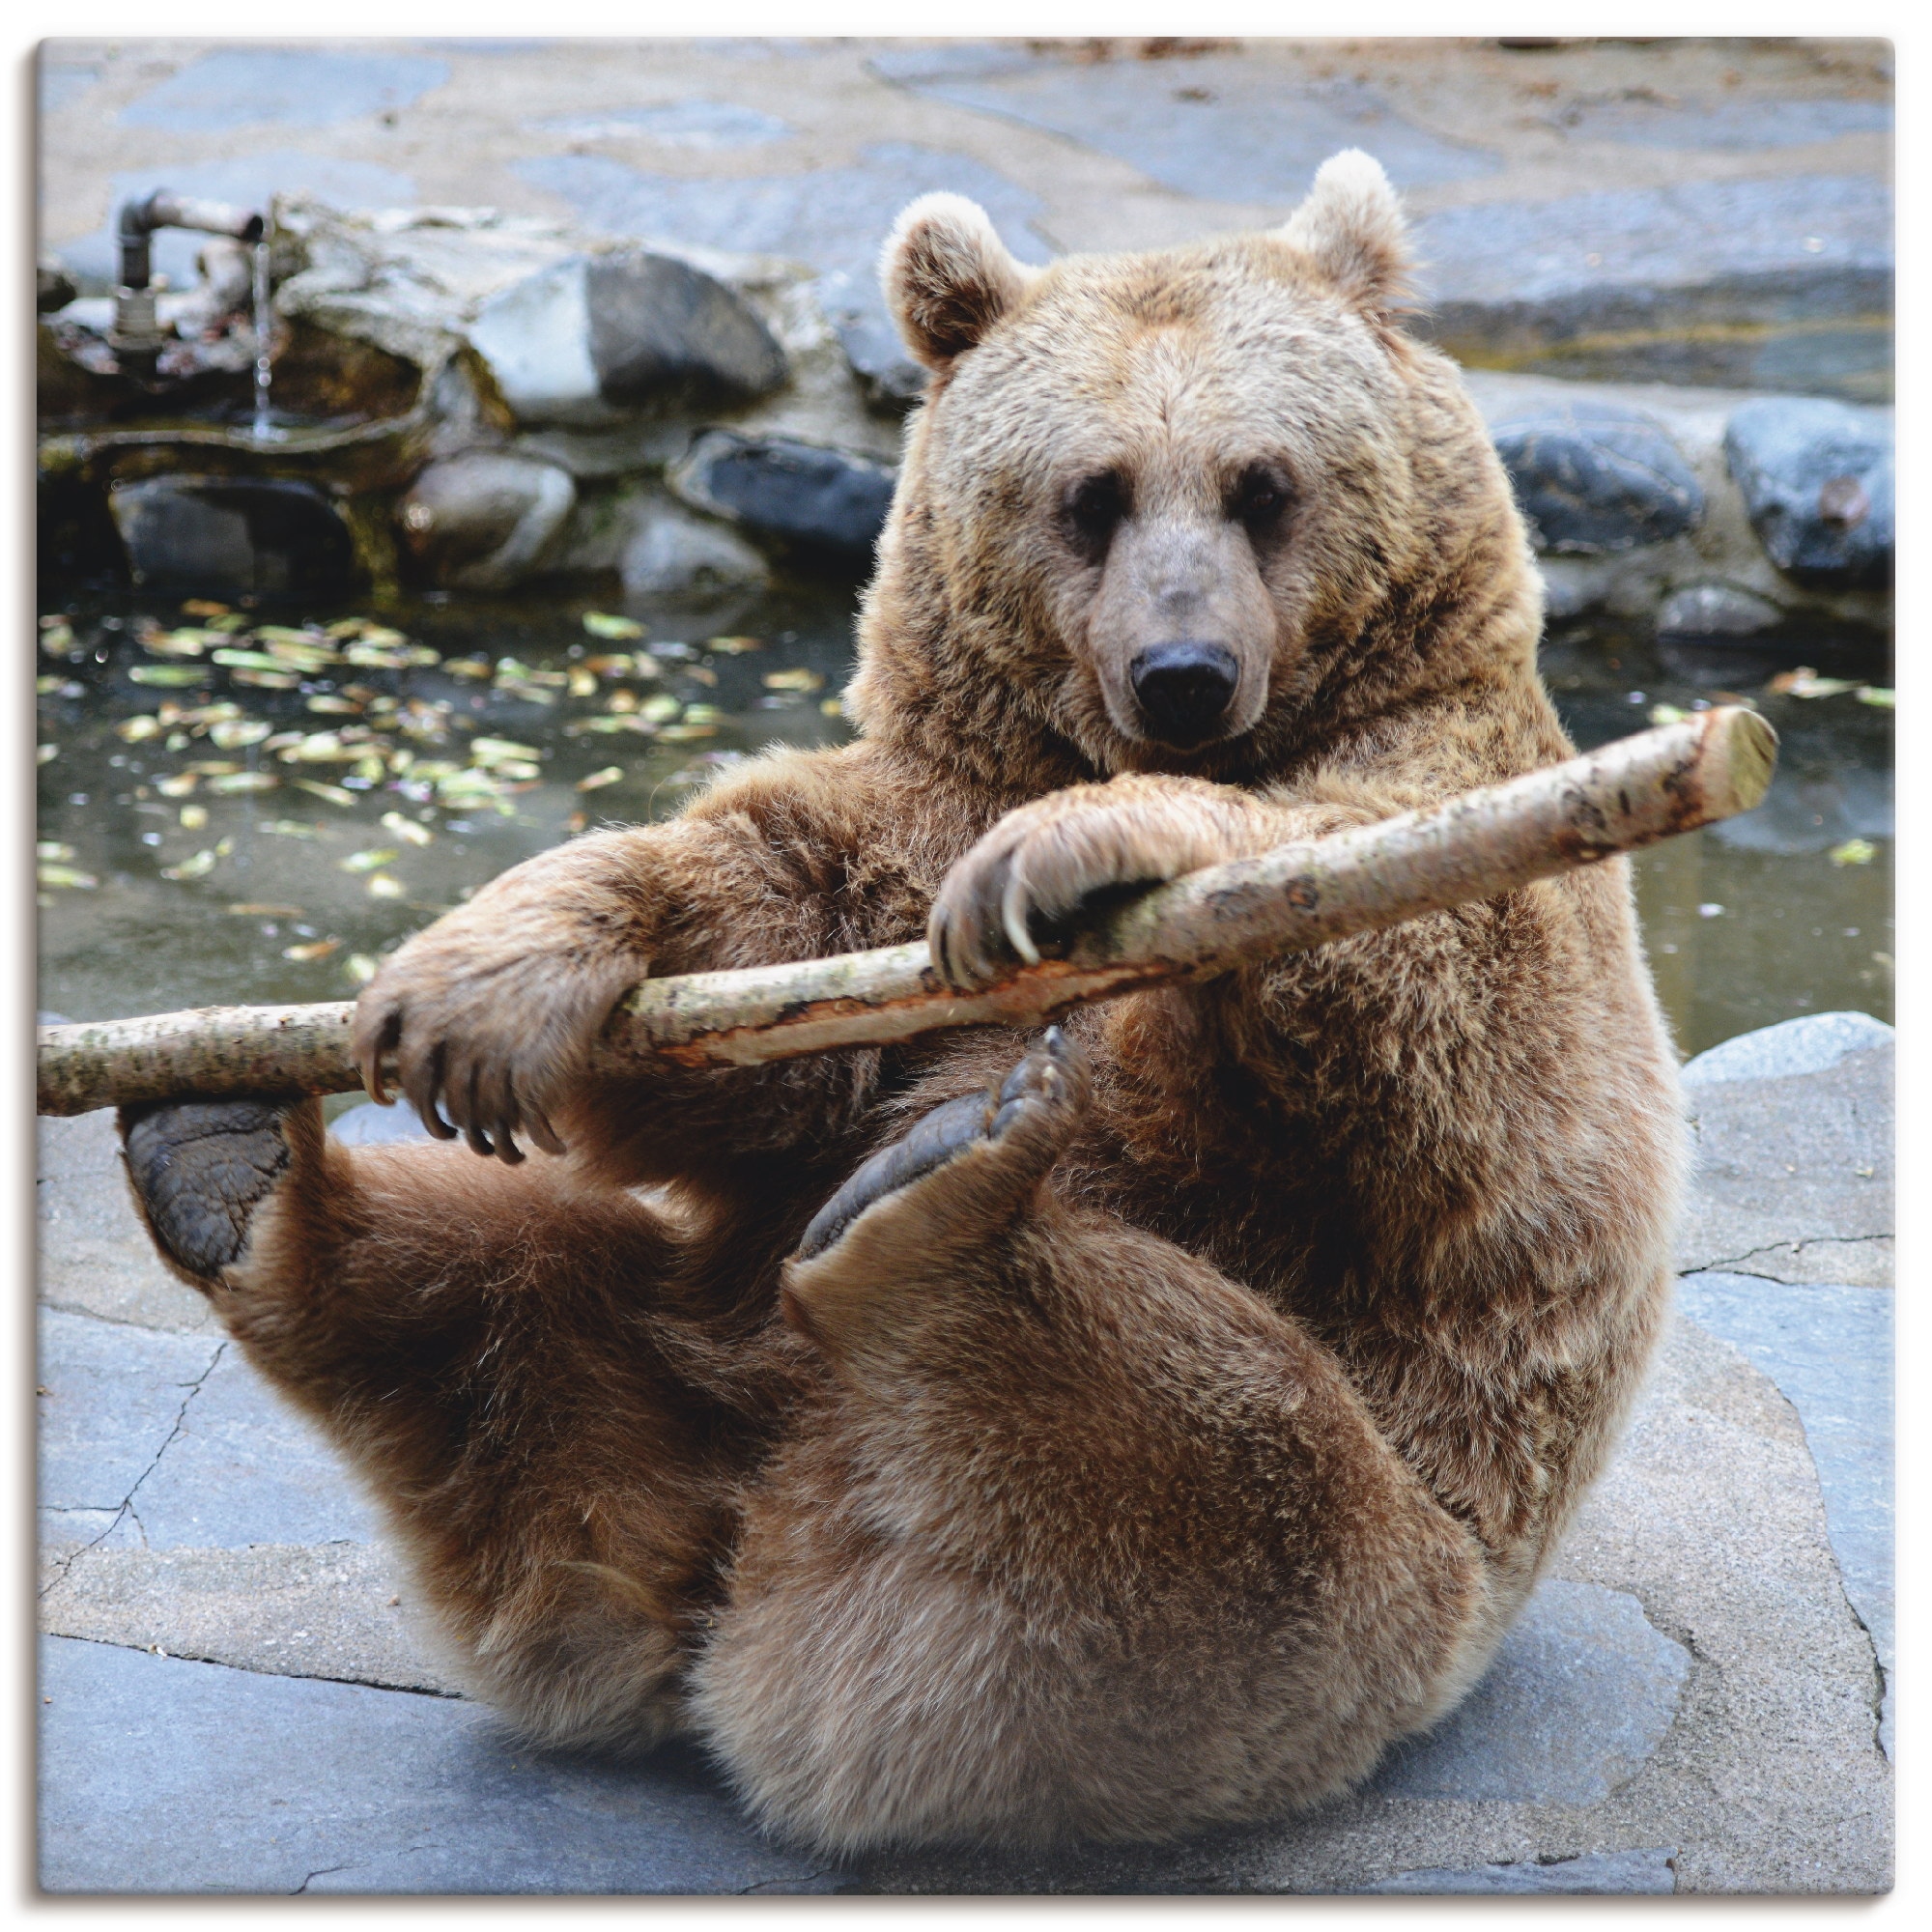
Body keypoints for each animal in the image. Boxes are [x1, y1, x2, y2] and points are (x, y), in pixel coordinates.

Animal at [125, 155, 1692, 1855]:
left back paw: (933, 1221)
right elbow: (760, 960)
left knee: (1196, 1456)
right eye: (1092, 494)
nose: (1185, 672)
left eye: (1262, 484)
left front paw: (1098, 851)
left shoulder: (1469, 807)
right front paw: (487, 980)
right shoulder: (929, 804)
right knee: (502, 1304)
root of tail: (743, 1584)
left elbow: (1436, 1036)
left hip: (1355, 1587)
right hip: (654, 1381)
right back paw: (231, 1173)